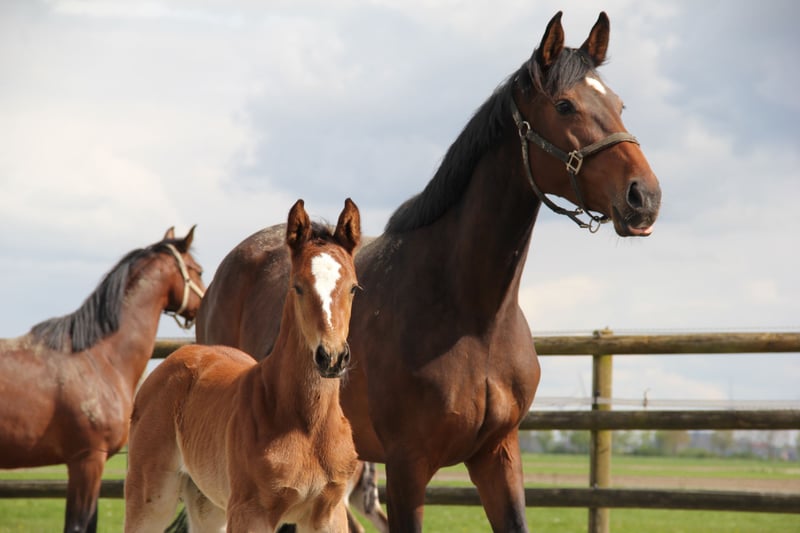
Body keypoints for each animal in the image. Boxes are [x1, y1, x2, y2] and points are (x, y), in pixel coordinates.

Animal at [125, 199, 362, 532]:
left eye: (353, 288)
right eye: (297, 286)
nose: (331, 357)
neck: (307, 426)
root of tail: (175, 359)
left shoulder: (328, 513)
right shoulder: (251, 512)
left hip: (207, 504)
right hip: (151, 495)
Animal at [196, 11, 661, 532]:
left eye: (619, 104)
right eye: (564, 105)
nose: (644, 196)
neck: (473, 318)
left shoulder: (497, 456)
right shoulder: (407, 468)